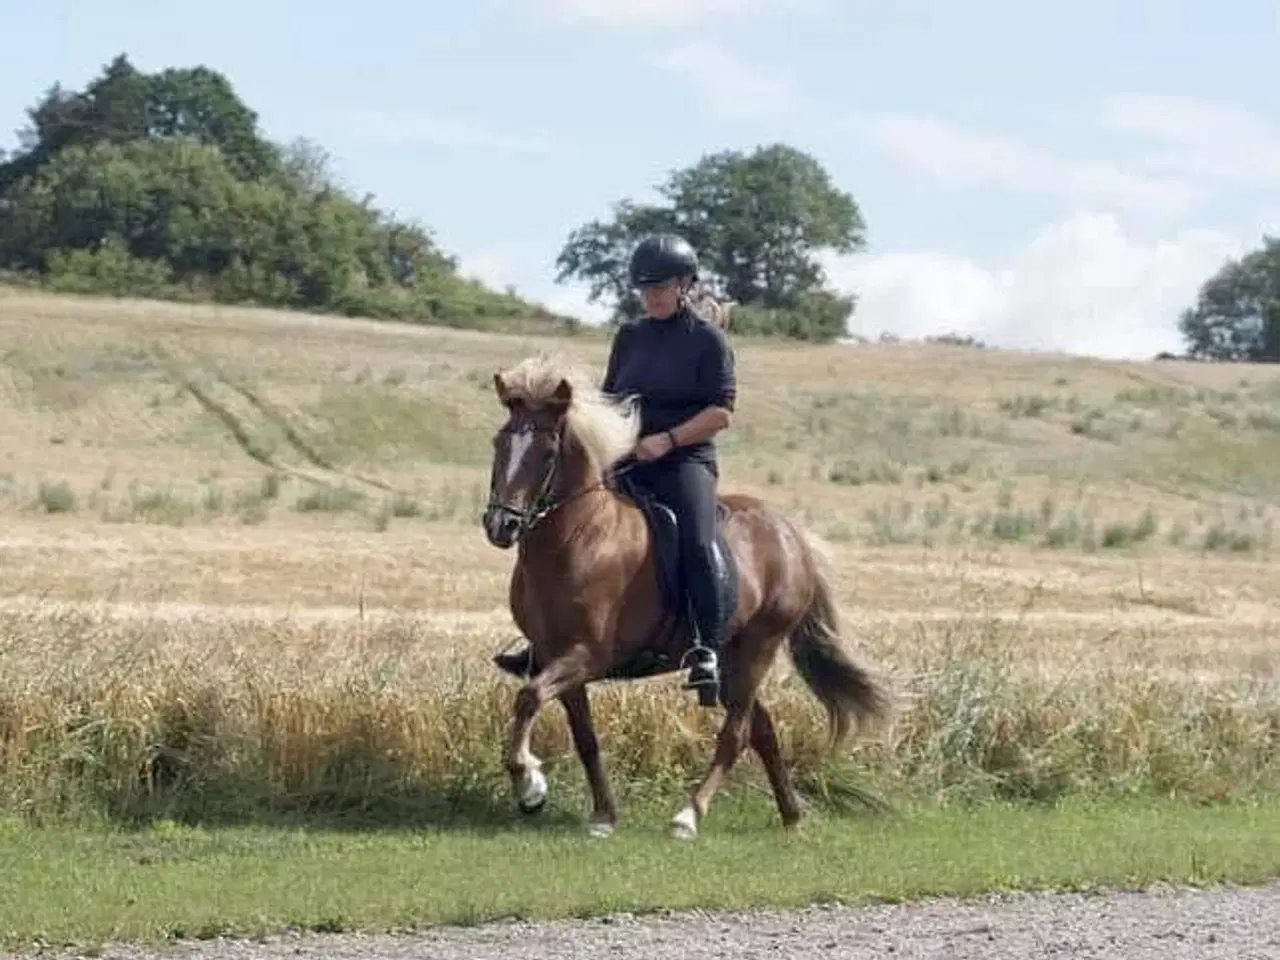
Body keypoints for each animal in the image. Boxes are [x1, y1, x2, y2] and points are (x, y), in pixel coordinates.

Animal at [481, 355, 890, 839]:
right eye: (499, 442)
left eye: (546, 453)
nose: (501, 525)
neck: (578, 538)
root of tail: (791, 533)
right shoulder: (551, 656)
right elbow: (583, 736)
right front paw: (601, 814)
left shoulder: (585, 655)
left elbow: (528, 698)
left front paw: (529, 783)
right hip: (731, 655)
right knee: (761, 729)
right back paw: (791, 815)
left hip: (758, 647)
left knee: (735, 734)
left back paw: (690, 815)